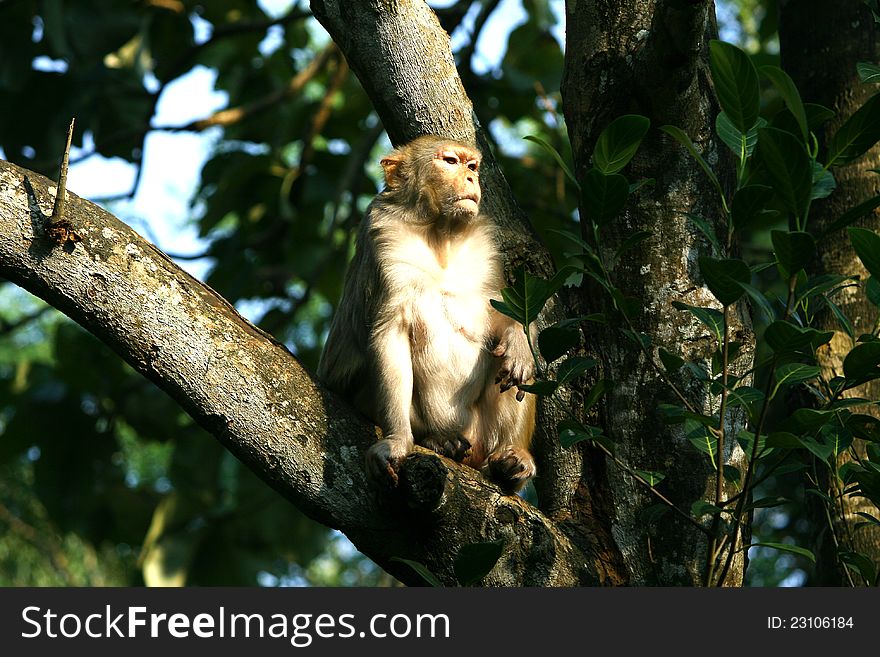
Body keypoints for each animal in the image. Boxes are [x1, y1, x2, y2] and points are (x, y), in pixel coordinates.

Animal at [318, 135, 536, 492]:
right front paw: (397, 442)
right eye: (450, 162)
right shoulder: (384, 237)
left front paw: (517, 339)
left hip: (482, 432)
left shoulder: (485, 246)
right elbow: (388, 335)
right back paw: (436, 440)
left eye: (472, 165)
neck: (440, 233)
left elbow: (501, 315)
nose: (471, 178)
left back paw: (512, 459)